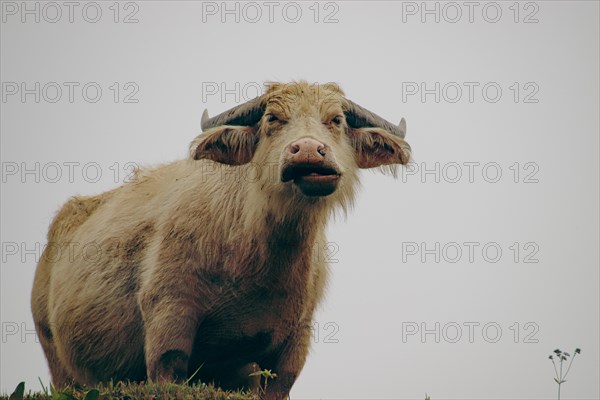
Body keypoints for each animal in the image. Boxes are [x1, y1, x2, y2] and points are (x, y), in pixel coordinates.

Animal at [32, 82, 412, 400]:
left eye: (335, 119)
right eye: (273, 118)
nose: (306, 150)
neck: (259, 262)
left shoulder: (293, 344)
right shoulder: (168, 315)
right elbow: (168, 365)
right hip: (58, 364)